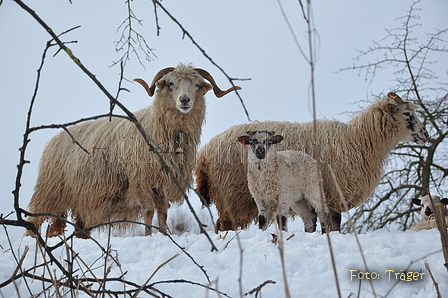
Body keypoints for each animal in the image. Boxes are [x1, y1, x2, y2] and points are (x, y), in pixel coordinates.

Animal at [24, 63, 242, 237]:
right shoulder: (141, 180)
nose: (184, 100)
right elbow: (149, 211)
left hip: (79, 198)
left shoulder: (163, 182)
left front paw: (164, 235)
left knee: (64, 227)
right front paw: (148, 236)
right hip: (49, 191)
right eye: (171, 83)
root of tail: (55, 138)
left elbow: (162, 212)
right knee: (34, 220)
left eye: (197, 85)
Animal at [195, 92, 428, 232]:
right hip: (232, 196)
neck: (358, 140)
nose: (425, 134)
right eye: (407, 114)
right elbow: (335, 225)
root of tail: (204, 153)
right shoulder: (334, 194)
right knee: (224, 225)